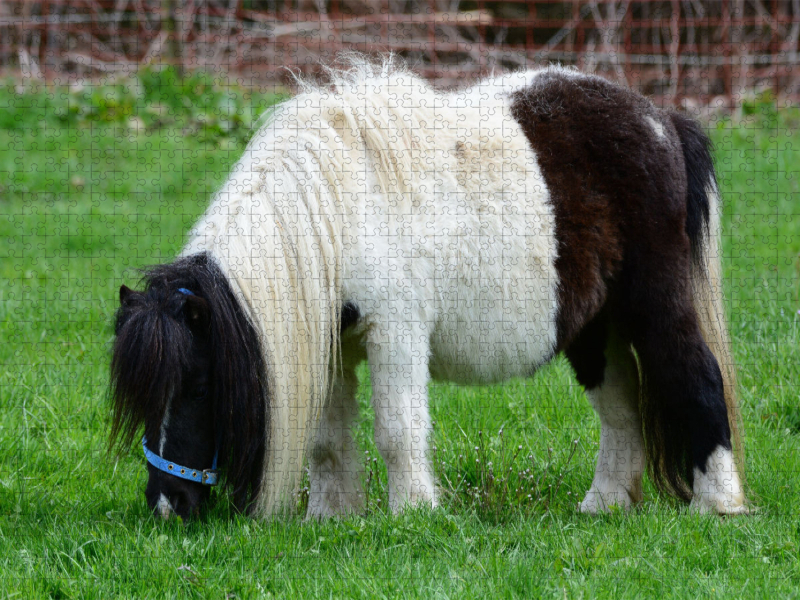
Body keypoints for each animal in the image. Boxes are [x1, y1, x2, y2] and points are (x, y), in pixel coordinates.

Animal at [109, 58, 748, 524]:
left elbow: (398, 430)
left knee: (695, 377)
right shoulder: (330, 343)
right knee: (621, 410)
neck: (338, 209)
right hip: (595, 330)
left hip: (654, 306)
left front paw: (411, 514)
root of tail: (662, 120)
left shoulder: (395, 333)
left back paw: (718, 504)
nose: (166, 506)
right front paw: (330, 518)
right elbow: (328, 441)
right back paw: (605, 505)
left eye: (197, 386)